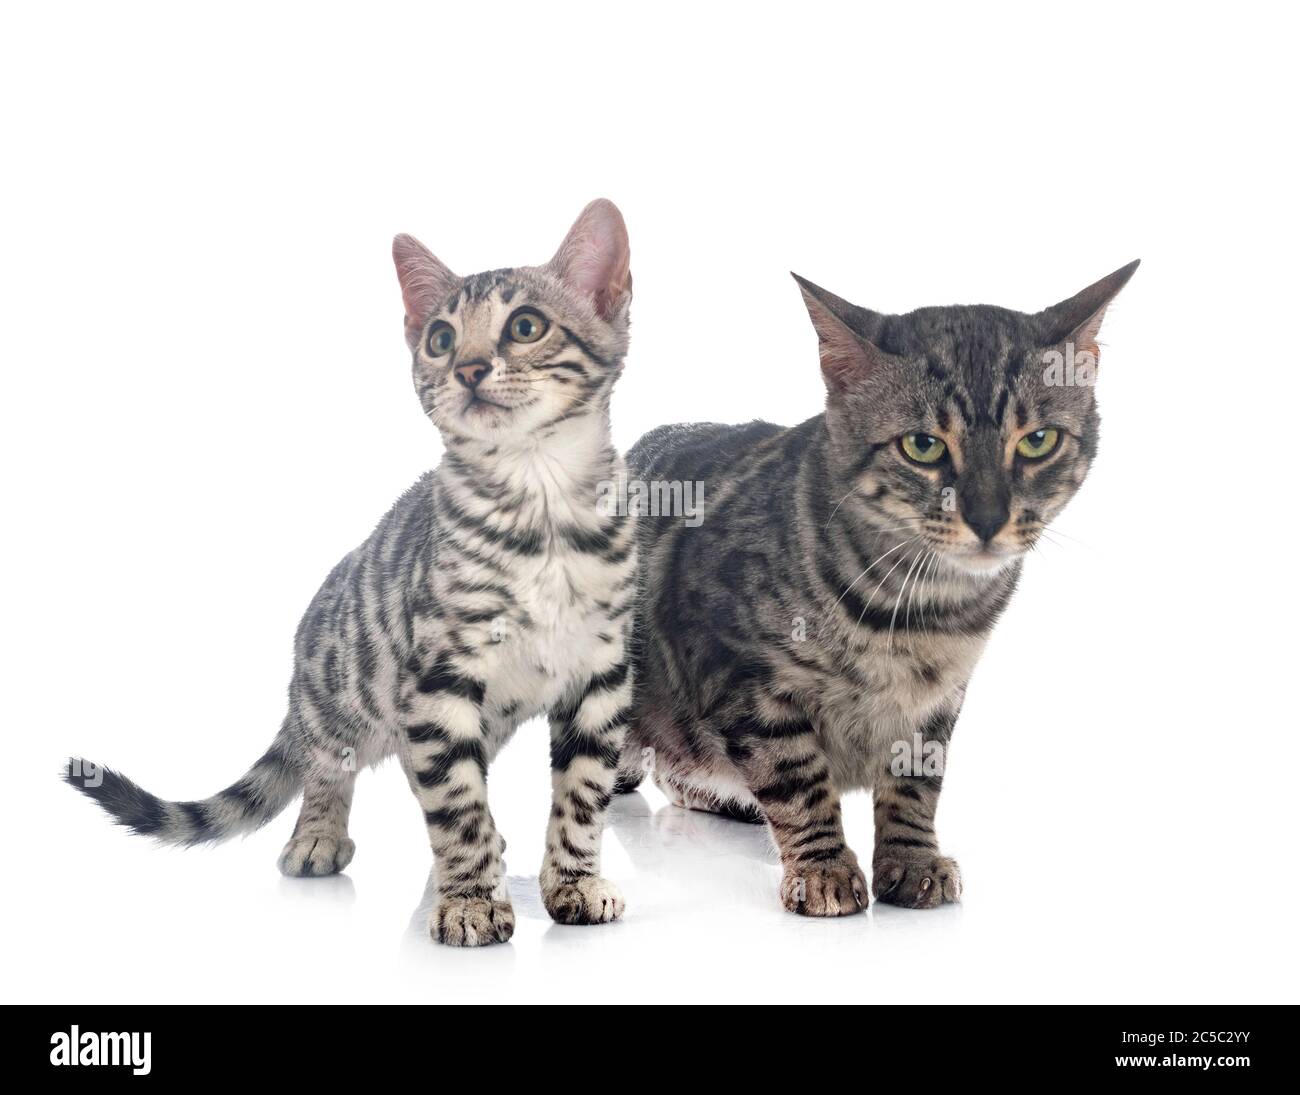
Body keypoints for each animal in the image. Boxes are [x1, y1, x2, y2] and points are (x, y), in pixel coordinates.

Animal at [68, 200, 637, 941]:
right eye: (441, 338)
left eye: (526, 326)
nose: (468, 368)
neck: (538, 505)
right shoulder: (439, 679)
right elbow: (456, 803)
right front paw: (471, 897)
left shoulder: (601, 677)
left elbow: (582, 795)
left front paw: (573, 880)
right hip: (346, 689)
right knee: (329, 761)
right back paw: (318, 833)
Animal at [613, 262, 1133, 915]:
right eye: (923, 446)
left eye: (1037, 441)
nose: (988, 519)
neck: (923, 605)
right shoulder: (740, 675)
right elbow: (796, 774)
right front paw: (823, 867)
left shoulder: (939, 701)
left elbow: (916, 783)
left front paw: (912, 860)